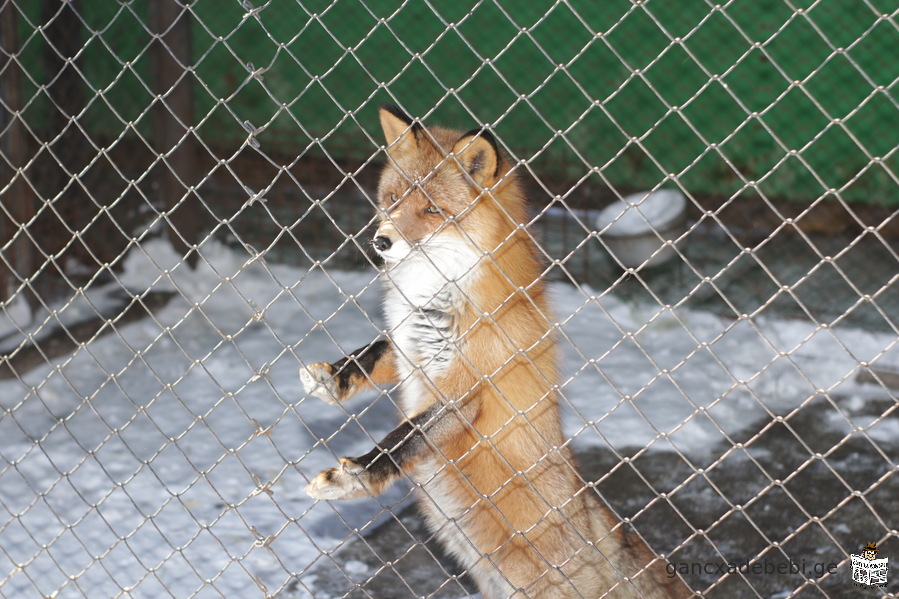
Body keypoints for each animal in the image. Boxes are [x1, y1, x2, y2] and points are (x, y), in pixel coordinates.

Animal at [302, 105, 688, 596]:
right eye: (392, 198)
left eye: (432, 210)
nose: (381, 241)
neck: (438, 291)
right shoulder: (410, 345)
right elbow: (372, 353)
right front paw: (333, 378)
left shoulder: (467, 390)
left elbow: (403, 439)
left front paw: (356, 475)